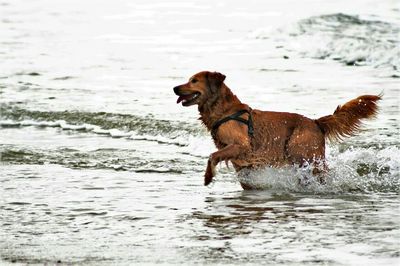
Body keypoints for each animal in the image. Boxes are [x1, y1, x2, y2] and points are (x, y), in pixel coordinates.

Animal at [173, 70, 380, 187]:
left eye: (193, 81)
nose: (175, 88)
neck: (223, 110)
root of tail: (316, 122)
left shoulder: (242, 145)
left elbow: (212, 156)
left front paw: (208, 177)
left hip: (302, 153)